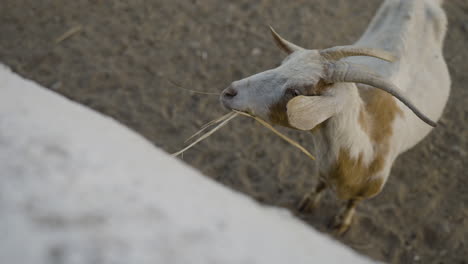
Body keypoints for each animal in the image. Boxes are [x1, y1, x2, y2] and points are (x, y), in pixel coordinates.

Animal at [219, 0, 450, 234]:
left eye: (295, 92)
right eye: (281, 65)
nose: (230, 92)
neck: (365, 152)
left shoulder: (365, 191)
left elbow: (353, 202)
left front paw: (341, 223)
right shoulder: (323, 167)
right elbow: (319, 183)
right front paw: (308, 203)